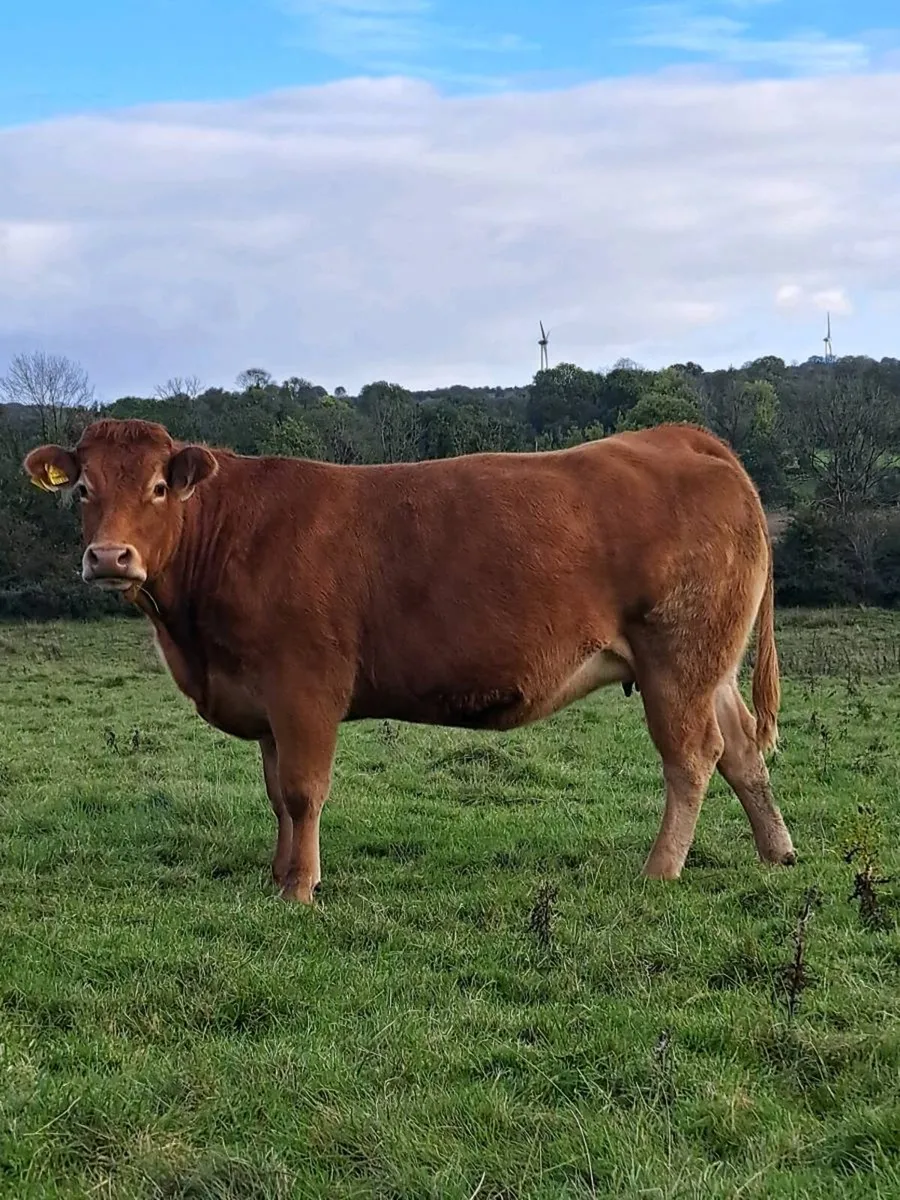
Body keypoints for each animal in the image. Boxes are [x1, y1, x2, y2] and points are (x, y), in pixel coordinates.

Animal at [24, 418, 796, 903]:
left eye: (158, 487)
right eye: (84, 489)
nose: (109, 558)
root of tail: (678, 436)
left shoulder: (305, 688)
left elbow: (302, 792)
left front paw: (300, 888)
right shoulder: (266, 702)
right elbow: (275, 795)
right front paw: (278, 874)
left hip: (677, 658)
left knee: (692, 757)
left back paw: (660, 870)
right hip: (709, 665)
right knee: (741, 752)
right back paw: (776, 852)